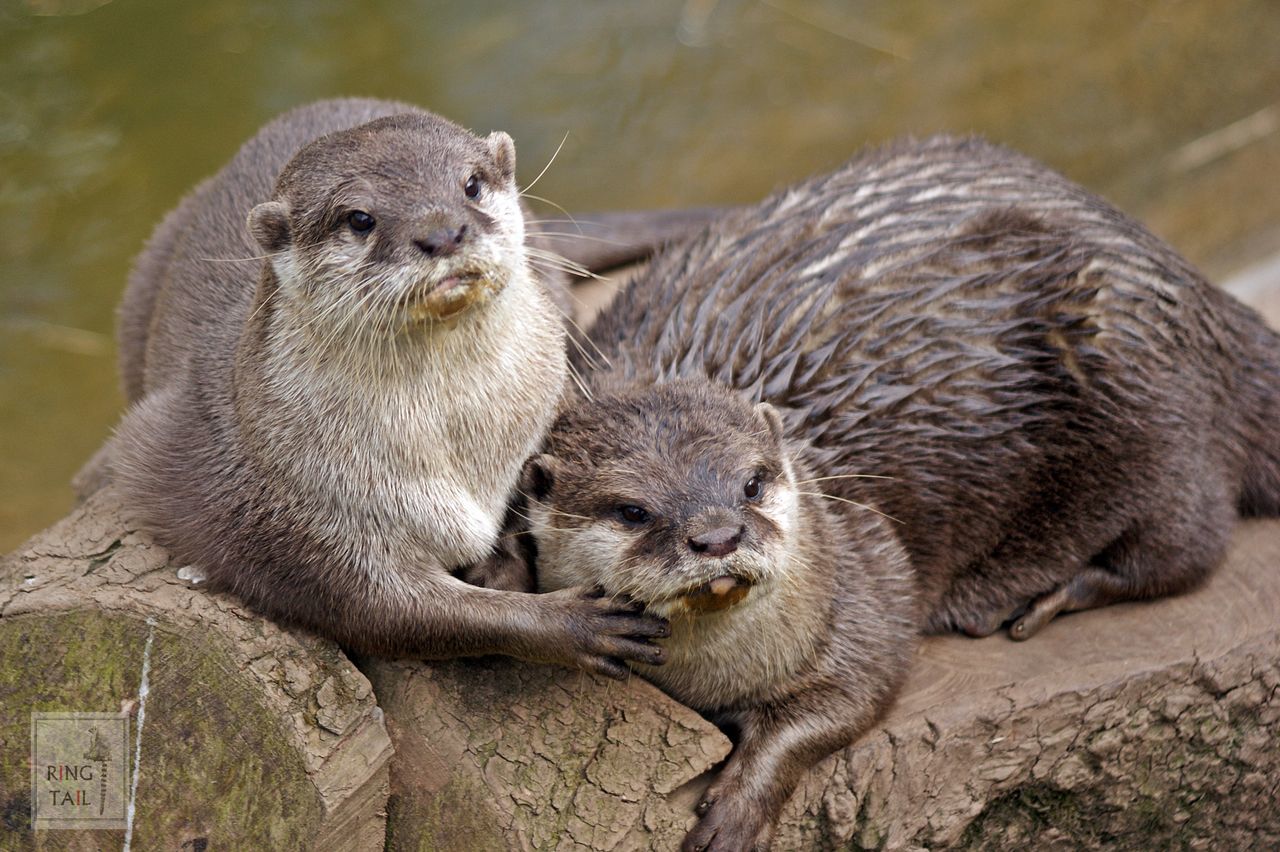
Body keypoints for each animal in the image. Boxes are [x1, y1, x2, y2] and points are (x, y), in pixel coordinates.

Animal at [88, 97, 727, 670]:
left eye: (471, 185)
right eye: (360, 219)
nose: (443, 232)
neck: (459, 447)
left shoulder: (545, 417)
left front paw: (500, 560)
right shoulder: (298, 513)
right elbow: (396, 611)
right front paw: (571, 624)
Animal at [512, 136, 1280, 844]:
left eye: (752, 483)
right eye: (633, 510)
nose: (718, 535)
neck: (712, 680)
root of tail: (1189, 287)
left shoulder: (864, 577)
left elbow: (854, 693)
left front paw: (739, 806)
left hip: (1142, 387)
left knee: (1187, 542)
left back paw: (1042, 596)